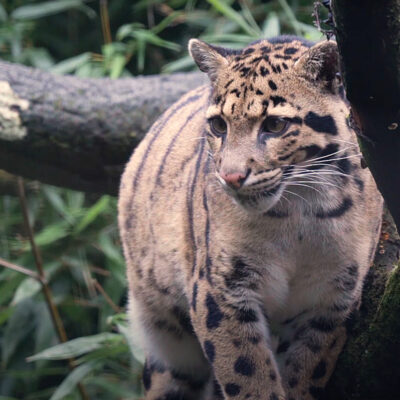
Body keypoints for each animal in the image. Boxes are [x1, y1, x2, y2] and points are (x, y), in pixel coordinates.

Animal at [119, 35, 384, 400]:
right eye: (219, 125)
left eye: (275, 124)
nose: (231, 177)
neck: (298, 216)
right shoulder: (221, 290)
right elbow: (246, 372)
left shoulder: (333, 299)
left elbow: (307, 369)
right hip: (169, 342)